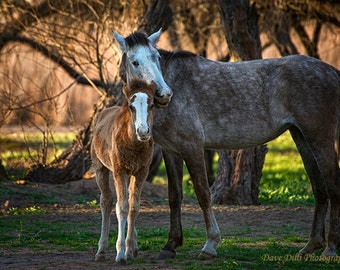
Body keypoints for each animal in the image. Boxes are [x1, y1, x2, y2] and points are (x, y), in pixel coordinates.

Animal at [112, 29, 340, 260]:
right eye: (135, 62)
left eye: (156, 58)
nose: (164, 94)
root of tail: (332, 72)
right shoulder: (171, 151)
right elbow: (174, 196)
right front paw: (170, 245)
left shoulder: (192, 148)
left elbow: (203, 194)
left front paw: (210, 244)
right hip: (302, 138)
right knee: (319, 189)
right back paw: (311, 245)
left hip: (320, 139)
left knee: (332, 189)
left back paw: (330, 248)